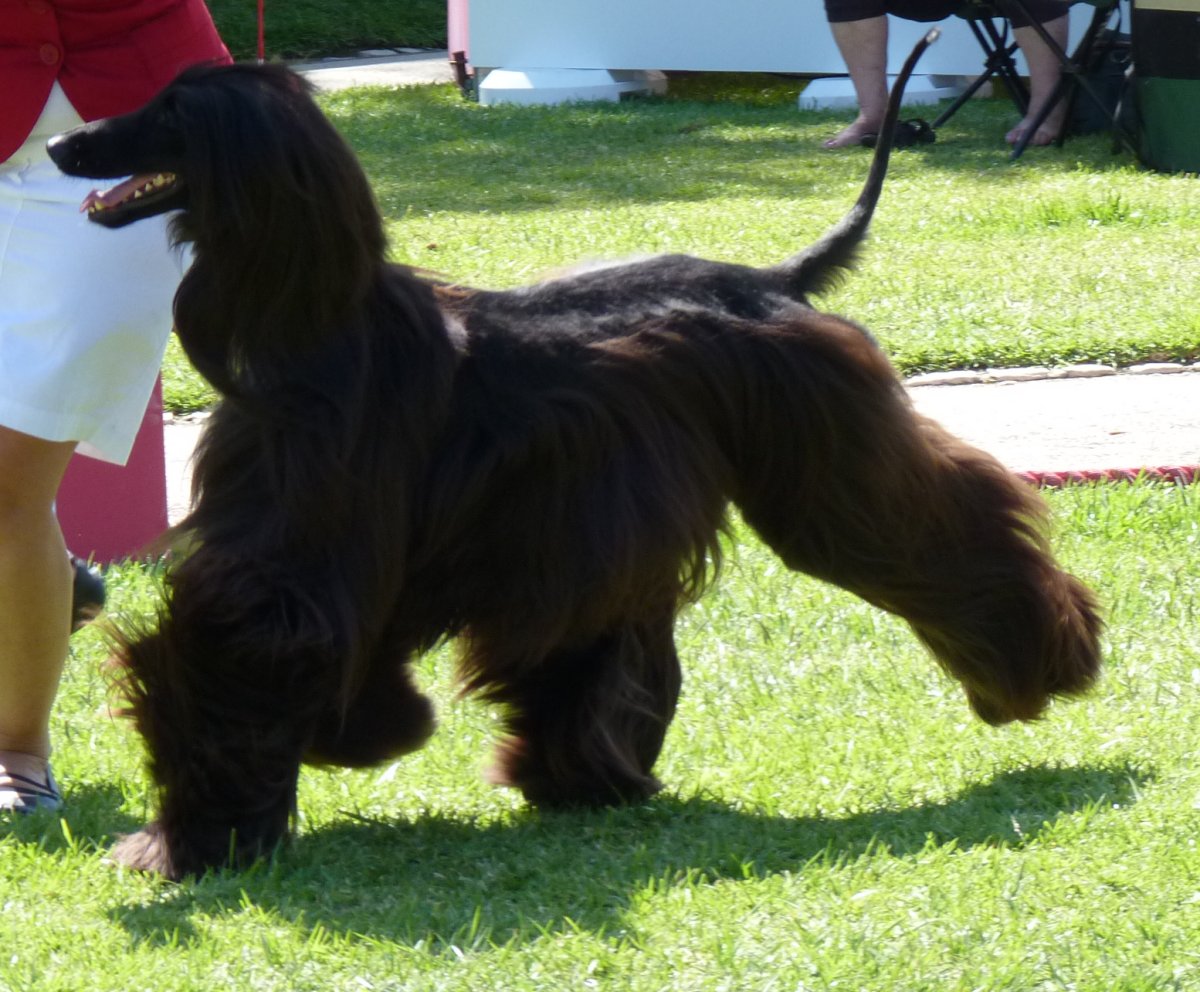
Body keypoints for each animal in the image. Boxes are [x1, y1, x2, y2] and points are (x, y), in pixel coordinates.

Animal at [48, 34, 1100, 879]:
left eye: (171, 112)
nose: (59, 145)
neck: (313, 324)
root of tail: (775, 280)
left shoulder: (301, 546)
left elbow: (247, 642)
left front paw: (192, 837)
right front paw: (367, 735)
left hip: (822, 455)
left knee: (943, 521)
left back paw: (1048, 665)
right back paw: (587, 777)